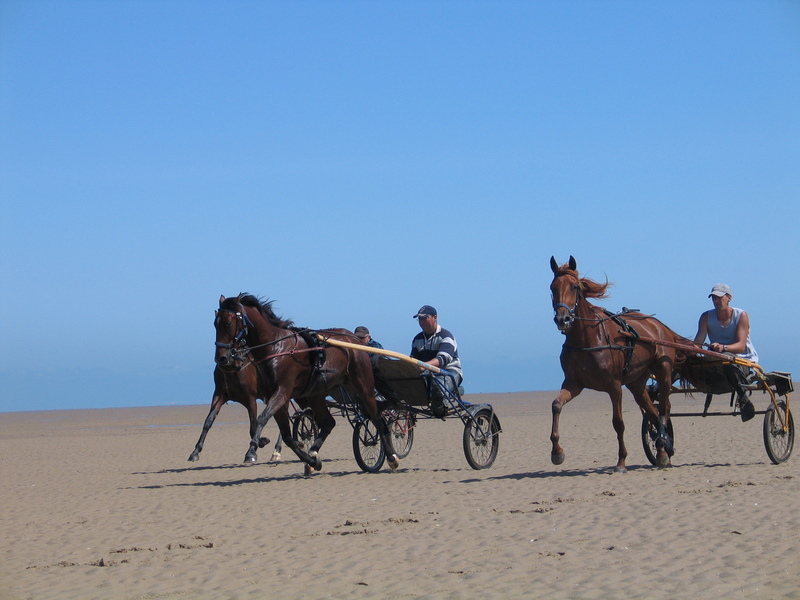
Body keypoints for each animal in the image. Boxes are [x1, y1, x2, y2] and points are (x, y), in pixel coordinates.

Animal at [214, 294, 398, 474]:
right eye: (215, 323)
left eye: (228, 323)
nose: (221, 358)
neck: (276, 347)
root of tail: (355, 341)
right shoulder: (275, 396)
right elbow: (287, 437)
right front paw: (312, 461)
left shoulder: (282, 392)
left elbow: (261, 419)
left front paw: (252, 450)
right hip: (316, 394)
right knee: (328, 423)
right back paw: (313, 453)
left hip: (363, 386)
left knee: (377, 419)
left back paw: (391, 456)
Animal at [552, 255, 688, 472]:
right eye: (552, 288)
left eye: (574, 286)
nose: (562, 319)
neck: (587, 340)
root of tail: (660, 326)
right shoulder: (574, 384)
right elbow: (556, 405)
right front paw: (557, 452)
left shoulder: (614, 386)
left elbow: (618, 423)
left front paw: (621, 461)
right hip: (636, 383)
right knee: (652, 411)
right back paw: (663, 447)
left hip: (664, 372)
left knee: (664, 408)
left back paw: (662, 448)